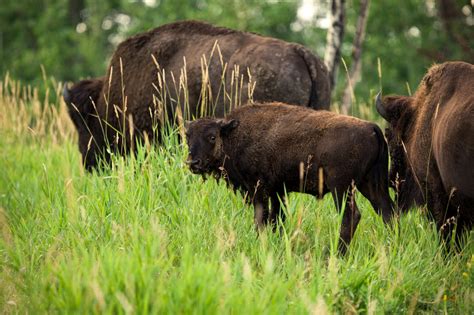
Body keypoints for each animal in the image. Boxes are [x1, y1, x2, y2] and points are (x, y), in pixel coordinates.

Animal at [184, 102, 392, 256]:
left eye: (212, 136)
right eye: (187, 137)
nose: (193, 162)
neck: (233, 134)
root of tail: (372, 127)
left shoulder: (259, 189)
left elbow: (262, 218)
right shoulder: (278, 191)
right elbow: (277, 218)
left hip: (341, 188)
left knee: (351, 216)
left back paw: (334, 254)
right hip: (371, 185)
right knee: (387, 212)